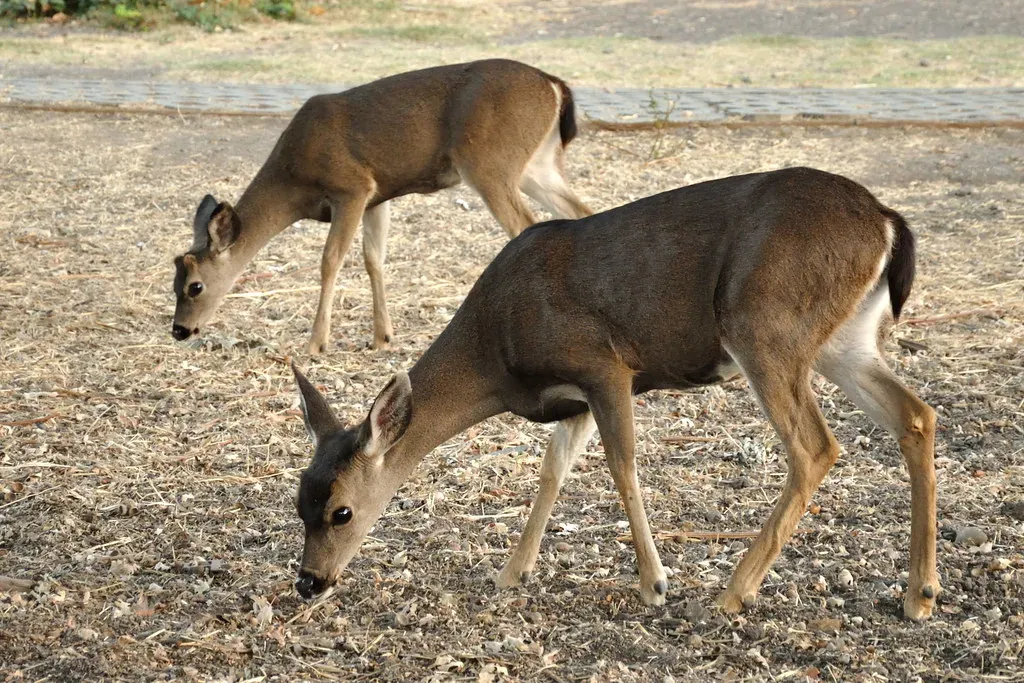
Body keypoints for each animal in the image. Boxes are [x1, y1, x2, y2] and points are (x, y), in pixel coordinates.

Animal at [171, 59, 591, 354]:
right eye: (173, 281)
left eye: (195, 286)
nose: (179, 329)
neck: (294, 179)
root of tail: (554, 84)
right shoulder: (379, 196)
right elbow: (374, 258)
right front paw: (382, 336)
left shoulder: (352, 187)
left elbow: (331, 259)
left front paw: (316, 343)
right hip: (537, 164)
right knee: (579, 212)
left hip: (489, 162)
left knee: (525, 225)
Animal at [289, 167, 939, 621]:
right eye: (299, 501)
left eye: (341, 511)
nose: (308, 581)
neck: (496, 351)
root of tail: (886, 221)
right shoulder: (573, 399)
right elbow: (553, 471)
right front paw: (512, 572)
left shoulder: (605, 365)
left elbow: (621, 465)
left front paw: (655, 583)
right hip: (843, 339)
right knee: (916, 414)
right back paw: (920, 593)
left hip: (764, 324)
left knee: (815, 445)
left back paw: (733, 592)